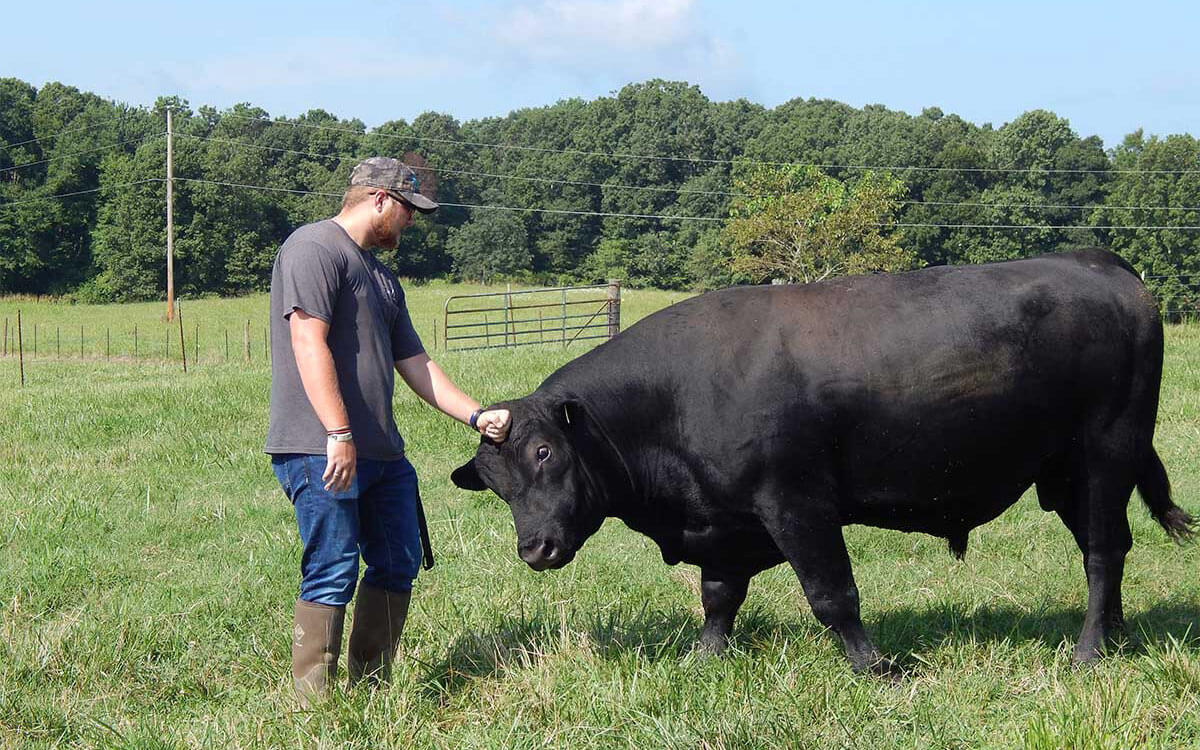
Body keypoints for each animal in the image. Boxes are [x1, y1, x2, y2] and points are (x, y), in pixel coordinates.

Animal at [451, 249, 1190, 672]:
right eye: (494, 483)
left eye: (545, 451)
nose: (536, 548)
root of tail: (1100, 262)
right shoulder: (723, 518)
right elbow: (718, 596)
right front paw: (704, 661)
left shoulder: (796, 502)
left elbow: (832, 593)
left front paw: (872, 668)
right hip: (1064, 472)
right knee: (1110, 545)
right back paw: (1118, 634)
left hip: (1106, 452)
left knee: (1103, 552)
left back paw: (1089, 652)